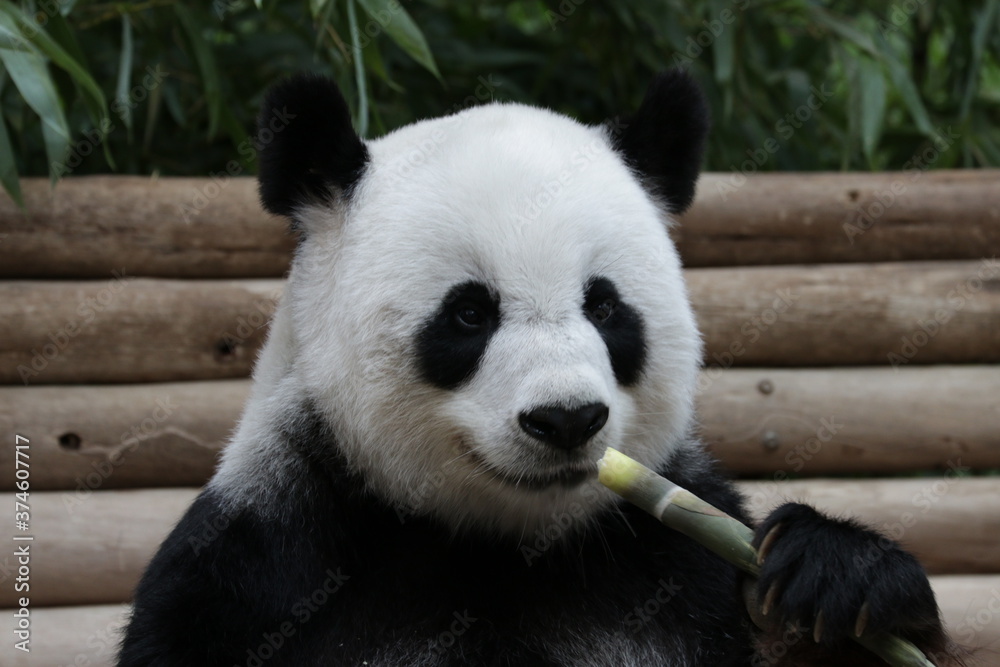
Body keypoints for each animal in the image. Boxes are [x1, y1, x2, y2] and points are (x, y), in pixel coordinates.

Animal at [119, 70, 956, 666]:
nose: (566, 419)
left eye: (606, 306)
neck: (507, 545)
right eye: (469, 313)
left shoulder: (676, 563)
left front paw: (838, 578)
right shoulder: (267, 562)